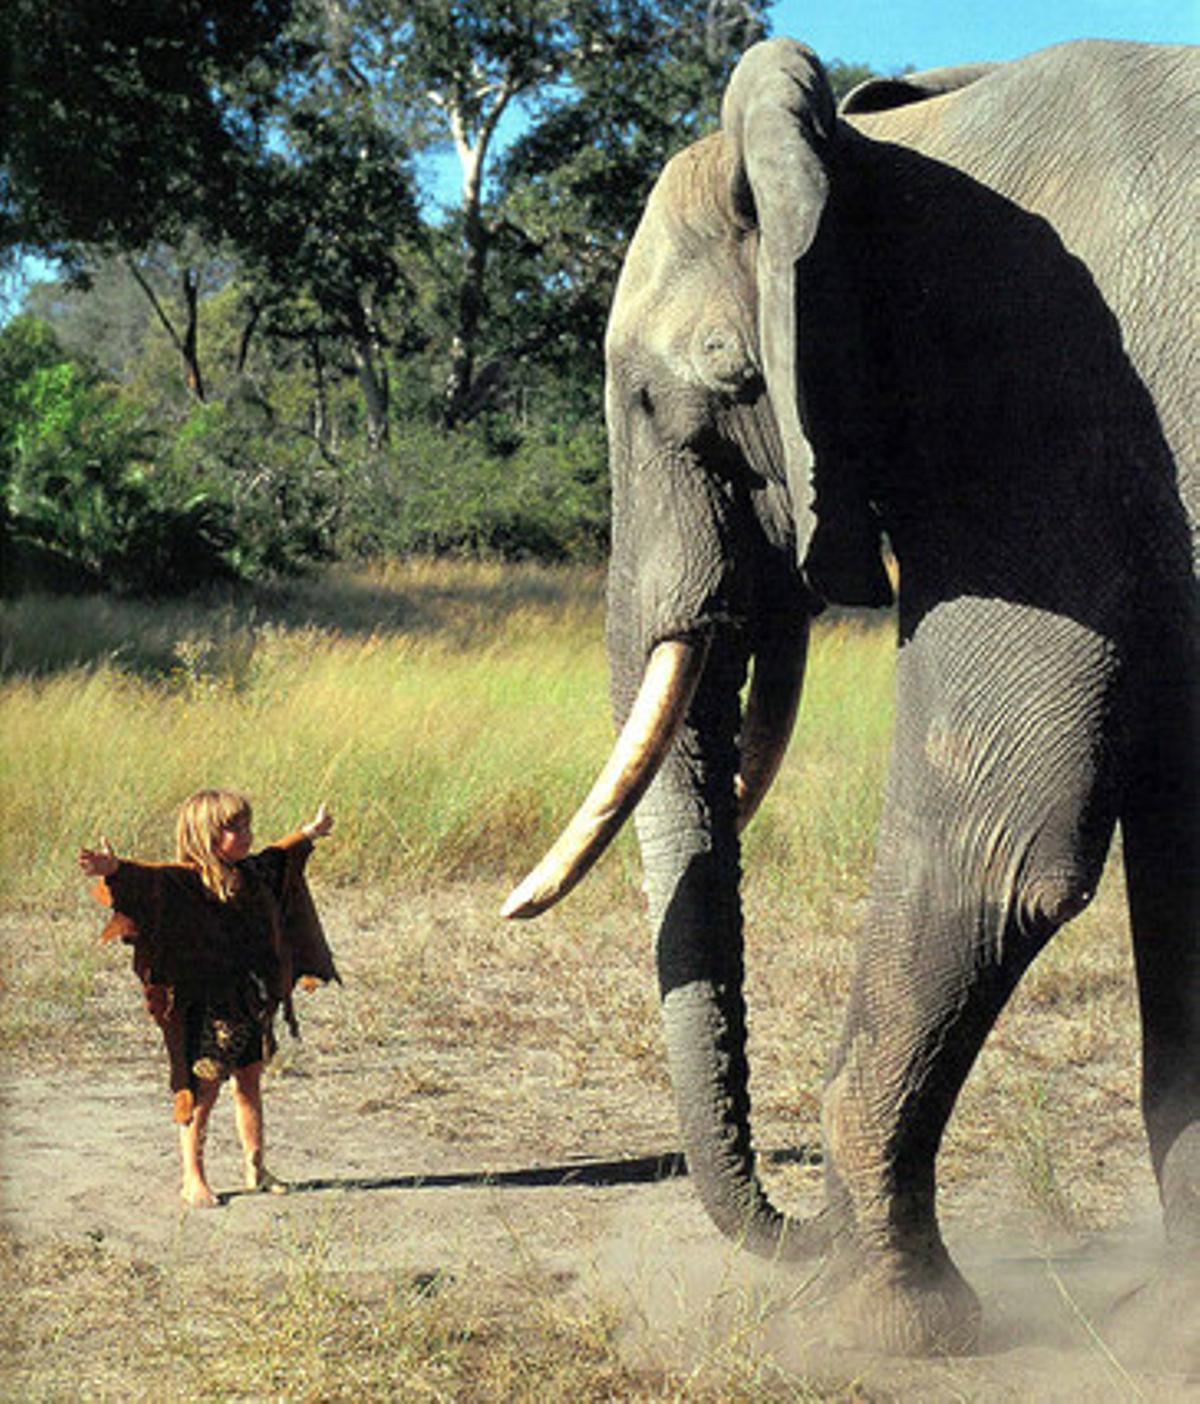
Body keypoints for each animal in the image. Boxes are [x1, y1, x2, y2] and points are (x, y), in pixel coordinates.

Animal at [504, 37, 1198, 1356]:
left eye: (702, 385)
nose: (790, 1226)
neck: (875, 159)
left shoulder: (1052, 408)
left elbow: (992, 842)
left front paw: (869, 1331)